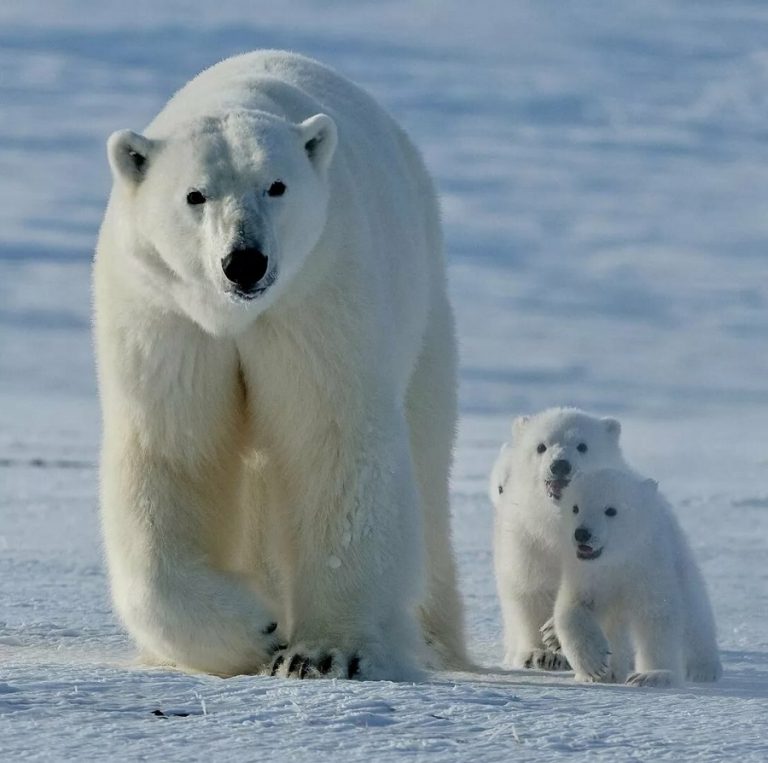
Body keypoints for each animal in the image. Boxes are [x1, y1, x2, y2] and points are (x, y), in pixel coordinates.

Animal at [93, 49, 464, 680]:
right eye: (195, 195)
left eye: (277, 185)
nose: (244, 261)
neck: (236, 317)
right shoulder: (168, 320)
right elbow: (173, 453)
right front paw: (254, 628)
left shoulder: (316, 298)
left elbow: (330, 439)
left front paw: (324, 652)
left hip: (421, 314)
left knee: (426, 456)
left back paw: (435, 640)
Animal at [492, 412, 632, 668]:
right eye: (541, 446)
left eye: (582, 446)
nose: (560, 465)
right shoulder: (529, 540)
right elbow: (527, 590)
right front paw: (539, 654)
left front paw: (554, 635)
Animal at [552, 468, 720, 688]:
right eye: (575, 508)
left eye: (611, 510)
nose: (582, 534)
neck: (617, 559)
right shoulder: (584, 575)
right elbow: (570, 610)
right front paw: (595, 666)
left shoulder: (649, 568)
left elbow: (656, 617)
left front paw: (652, 675)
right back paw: (611, 672)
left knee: (696, 613)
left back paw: (704, 669)